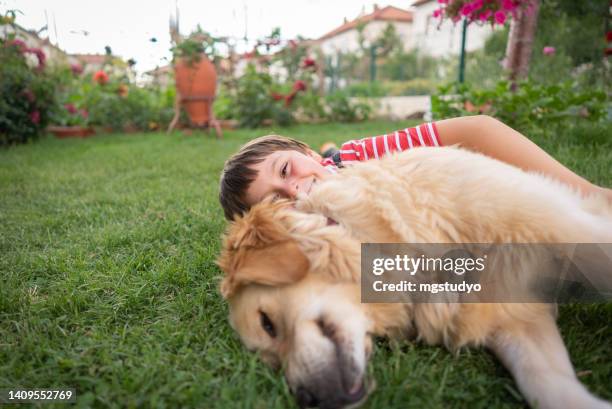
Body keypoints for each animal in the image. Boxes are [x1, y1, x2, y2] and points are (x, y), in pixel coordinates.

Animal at [216, 147, 612, 408]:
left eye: (266, 323)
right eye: (267, 361)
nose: (309, 399)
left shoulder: (566, 228)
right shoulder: (513, 316)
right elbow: (547, 384)